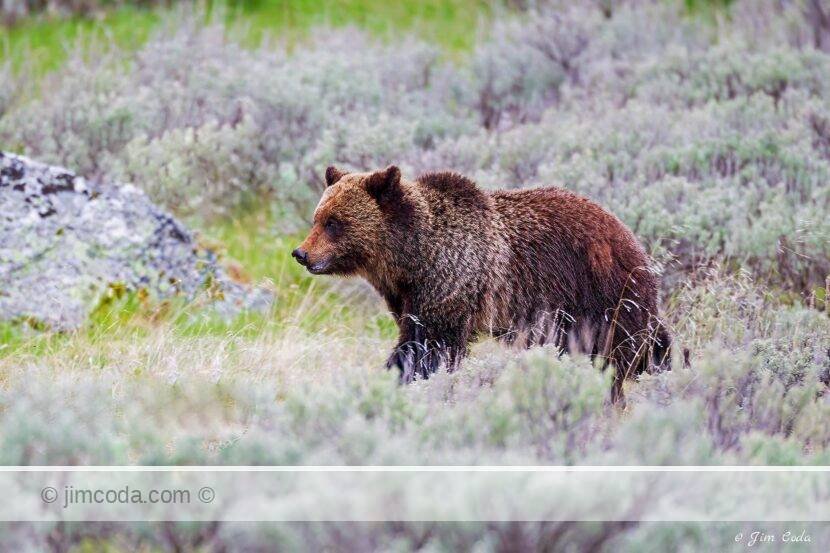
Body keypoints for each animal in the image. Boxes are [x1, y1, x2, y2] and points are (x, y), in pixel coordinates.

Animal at [292, 165, 671, 402]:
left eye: (334, 222)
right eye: (317, 218)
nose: (301, 253)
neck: (411, 257)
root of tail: (630, 236)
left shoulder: (451, 280)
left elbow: (429, 345)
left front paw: (398, 378)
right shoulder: (406, 296)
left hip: (601, 292)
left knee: (615, 354)